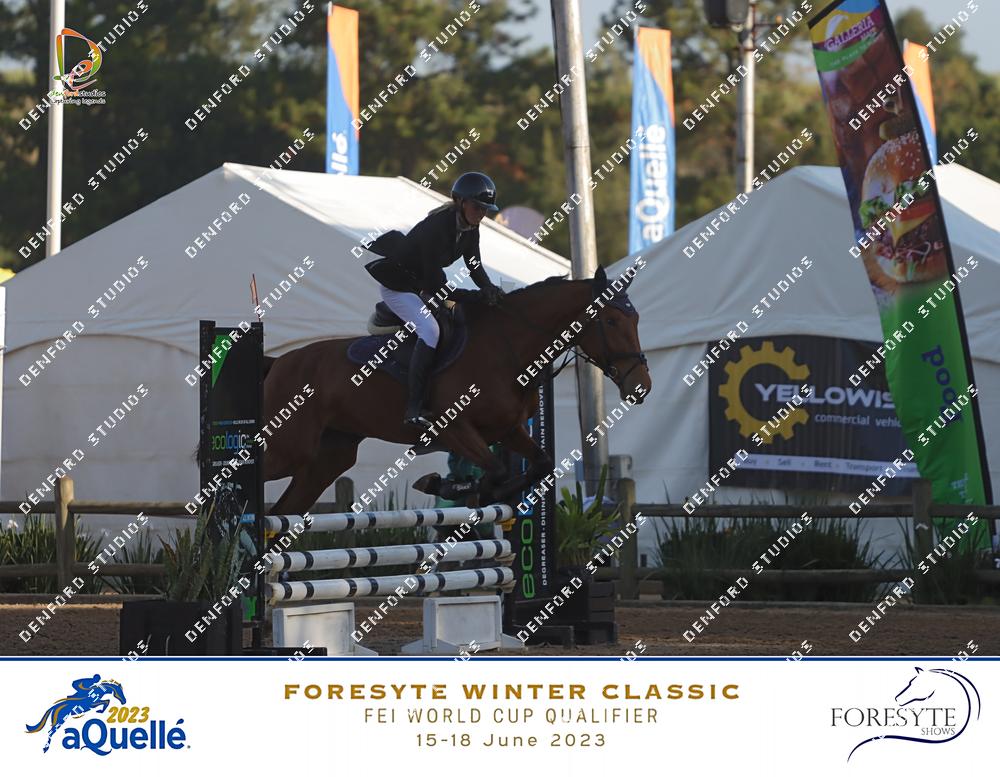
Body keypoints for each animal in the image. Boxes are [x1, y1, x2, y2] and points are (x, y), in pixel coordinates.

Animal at [261, 265, 651, 515]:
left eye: (636, 319)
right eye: (610, 320)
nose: (641, 387)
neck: (506, 347)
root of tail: (277, 364)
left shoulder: (507, 429)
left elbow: (537, 464)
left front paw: (467, 490)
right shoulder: (454, 428)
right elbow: (495, 471)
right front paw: (442, 485)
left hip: (328, 457)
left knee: (283, 512)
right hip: (288, 448)